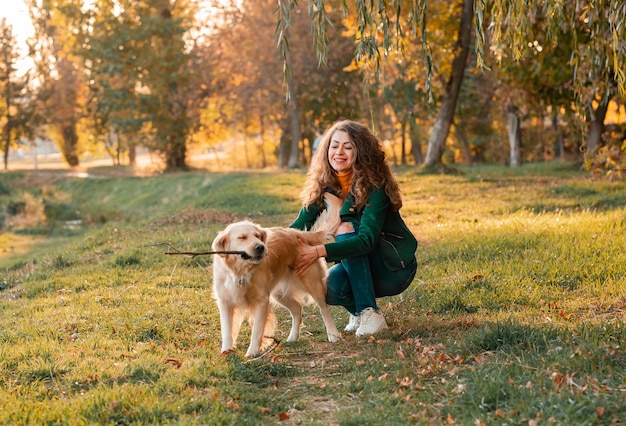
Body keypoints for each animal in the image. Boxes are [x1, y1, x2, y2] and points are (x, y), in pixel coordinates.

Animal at [213, 195, 342, 358]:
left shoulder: (261, 301)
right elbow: (226, 330)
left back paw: (333, 334)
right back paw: (293, 337)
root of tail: (299, 233)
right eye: (242, 237)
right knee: (297, 309)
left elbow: (257, 330)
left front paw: (252, 352)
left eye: (258, 236)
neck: (241, 272)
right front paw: (226, 350)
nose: (260, 247)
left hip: (312, 282)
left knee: (323, 308)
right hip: (279, 293)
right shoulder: (225, 301)